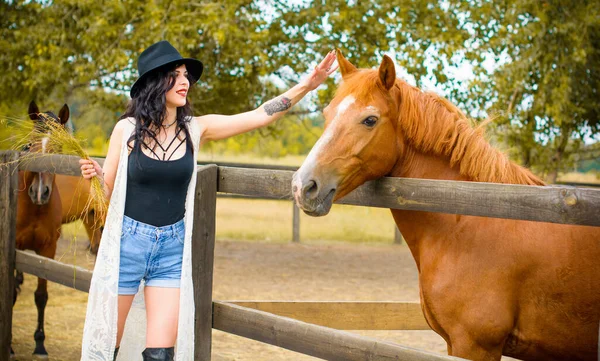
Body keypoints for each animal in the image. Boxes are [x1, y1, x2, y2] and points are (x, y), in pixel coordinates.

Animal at [294, 50, 600, 360]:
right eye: (327, 114)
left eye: (369, 120)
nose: (303, 186)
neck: (468, 223)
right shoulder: (454, 343)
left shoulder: (475, 344)